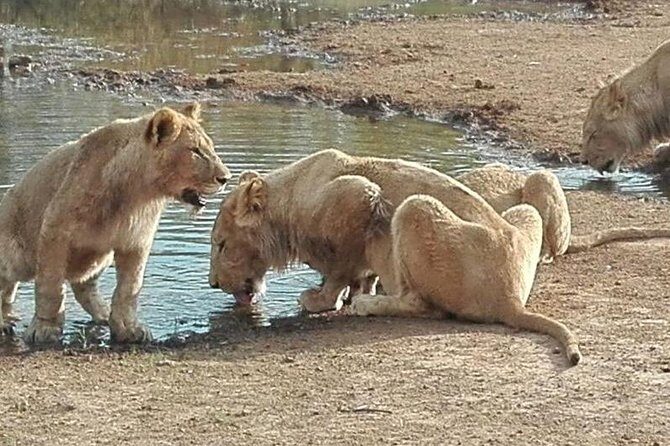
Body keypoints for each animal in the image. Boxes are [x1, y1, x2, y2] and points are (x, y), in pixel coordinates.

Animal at [0, 103, 230, 344]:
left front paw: (128, 329)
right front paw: (45, 330)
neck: (137, 193)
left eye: (210, 148)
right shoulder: (54, 230)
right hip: (16, 254)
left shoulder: (136, 241)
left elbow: (129, 288)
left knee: (83, 286)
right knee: (6, 285)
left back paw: (103, 315)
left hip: (98, 258)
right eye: (195, 151)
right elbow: (50, 286)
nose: (226, 178)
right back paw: (5, 322)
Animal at [209, 149, 581, 364]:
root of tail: (511, 295)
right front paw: (358, 290)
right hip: (524, 213)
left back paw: (367, 306)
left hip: (414, 208)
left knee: (425, 306)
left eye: (221, 244)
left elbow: (339, 269)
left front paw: (324, 299)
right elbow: (364, 271)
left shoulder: (359, 196)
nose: (211, 283)